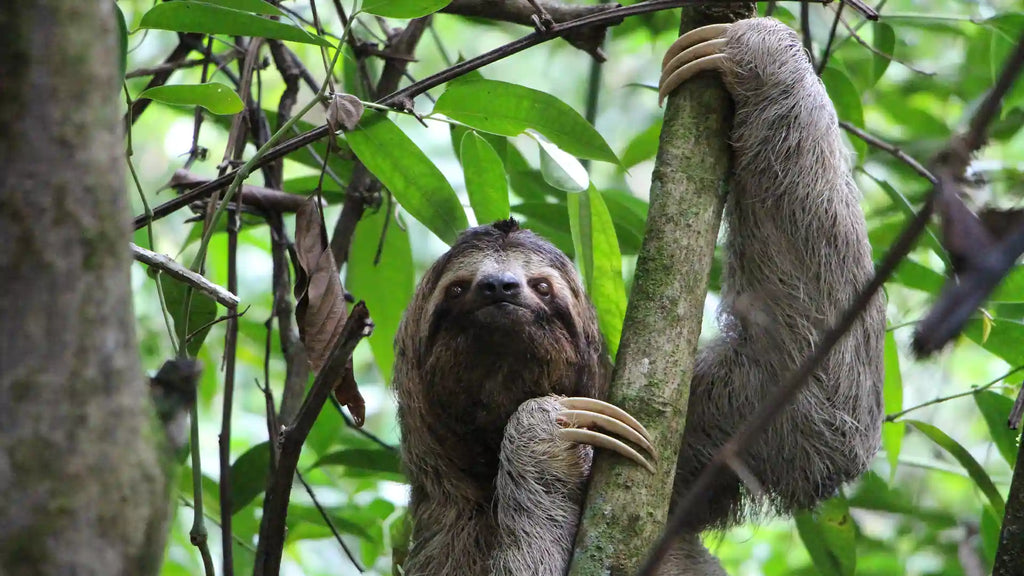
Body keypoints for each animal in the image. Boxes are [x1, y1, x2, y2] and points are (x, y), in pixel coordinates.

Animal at [392, 17, 885, 576]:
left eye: (543, 286)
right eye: (456, 290)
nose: (500, 287)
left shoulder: (686, 434)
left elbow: (813, 395)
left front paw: (755, 50)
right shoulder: (447, 534)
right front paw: (545, 432)